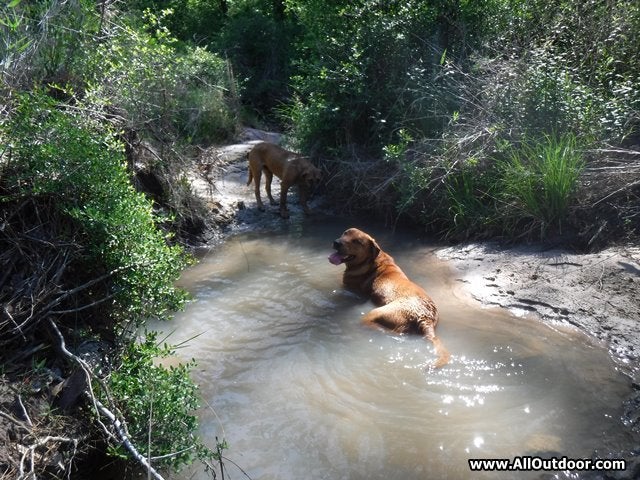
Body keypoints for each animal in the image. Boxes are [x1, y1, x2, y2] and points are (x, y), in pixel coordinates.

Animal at [330, 228, 450, 368]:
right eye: (345, 233)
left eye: (357, 241)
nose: (336, 242)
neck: (371, 262)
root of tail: (425, 317)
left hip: (374, 313)